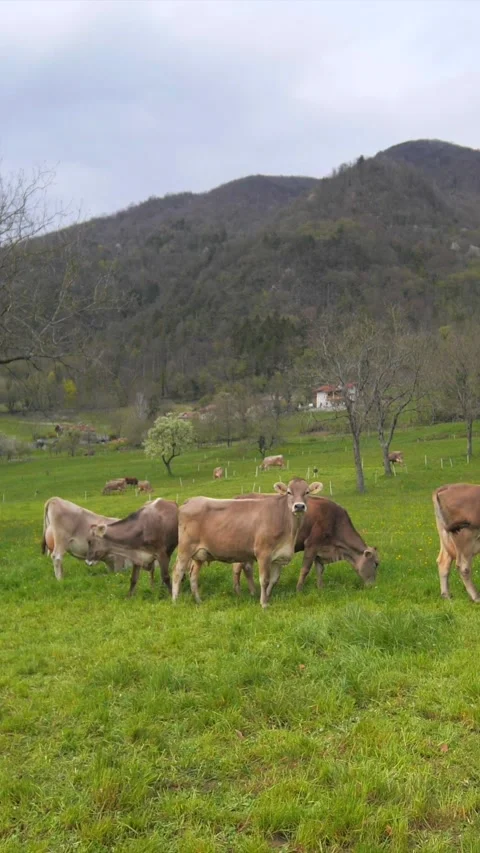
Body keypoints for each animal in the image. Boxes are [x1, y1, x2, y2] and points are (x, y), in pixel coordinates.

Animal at [171, 478, 323, 609]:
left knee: (193, 575)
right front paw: (263, 603)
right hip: (185, 549)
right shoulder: (263, 554)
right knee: (178, 571)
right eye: (289, 492)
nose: (299, 506)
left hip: (200, 554)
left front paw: (268, 598)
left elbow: (274, 580)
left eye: (307, 492)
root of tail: (191, 500)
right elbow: (264, 580)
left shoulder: (279, 557)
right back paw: (175, 600)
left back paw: (198, 600)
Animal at [232, 494, 379, 595]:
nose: (374, 586)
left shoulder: (320, 548)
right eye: (376, 564)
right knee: (239, 568)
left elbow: (320, 569)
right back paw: (240, 592)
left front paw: (320, 588)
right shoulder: (311, 544)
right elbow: (305, 569)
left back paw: (251, 591)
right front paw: (299, 590)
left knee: (244, 568)